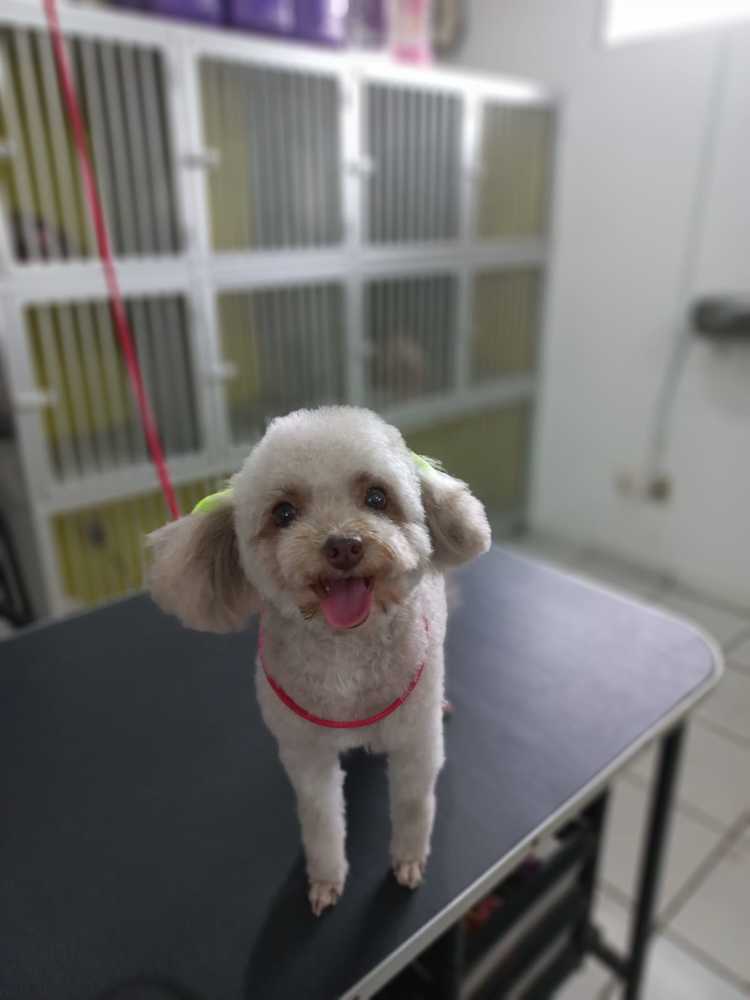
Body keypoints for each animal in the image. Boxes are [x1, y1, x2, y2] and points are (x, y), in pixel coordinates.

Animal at [147, 406, 491, 915]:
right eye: (284, 512)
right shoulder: (306, 755)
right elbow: (321, 819)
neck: (345, 654)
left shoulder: (415, 743)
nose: (343, 545)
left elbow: (413, 805)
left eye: (377, 496)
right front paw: (327, 879)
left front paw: (409, 859)